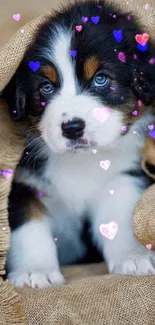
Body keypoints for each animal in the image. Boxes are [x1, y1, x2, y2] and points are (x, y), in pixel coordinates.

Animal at [2, 1, 155, 288]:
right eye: (46, 87)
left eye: (101, 79)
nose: (72, 128)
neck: (82, 161)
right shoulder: (24, 182)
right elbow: (29, 226)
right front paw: (34, 271)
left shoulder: (123, 174)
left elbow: (121, 215)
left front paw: (135, 256)